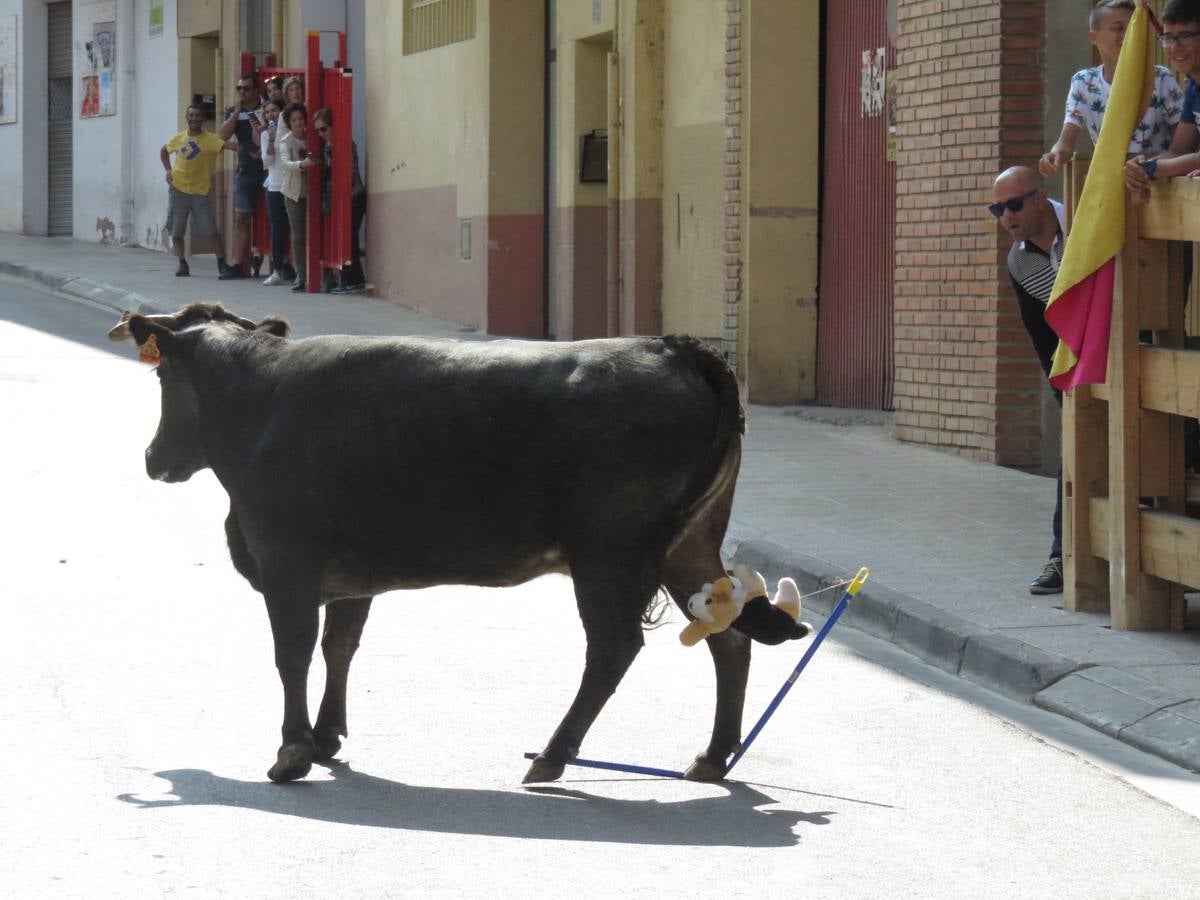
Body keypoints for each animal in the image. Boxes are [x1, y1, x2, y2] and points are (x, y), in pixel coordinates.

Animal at [112, 307, 806, 787]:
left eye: (162, 376)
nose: (150, 458)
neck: (258, 402)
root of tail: (675, 348)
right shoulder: (350, 575)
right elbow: (340, 646)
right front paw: (327, 736)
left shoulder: (287, 565)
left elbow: (294, 654)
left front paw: (292, 752)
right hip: (689, 547)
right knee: (729, 639)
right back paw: (711, 757)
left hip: (607, 556)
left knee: (614, 649)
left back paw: (551, 756)